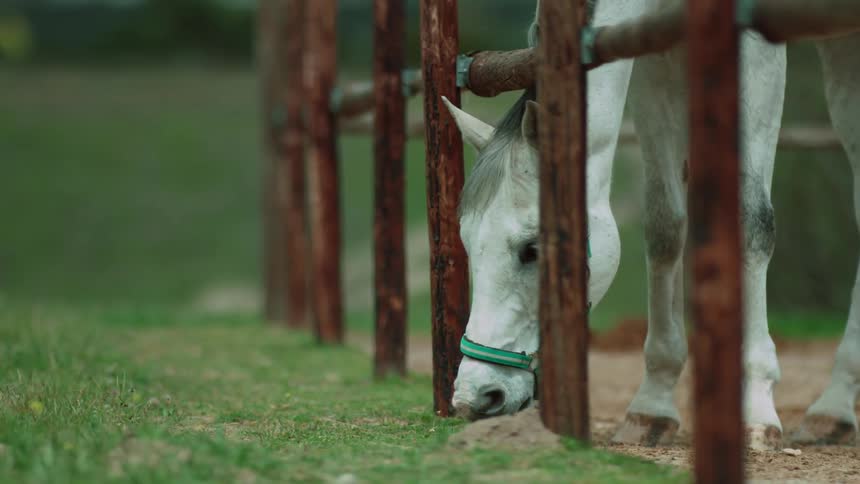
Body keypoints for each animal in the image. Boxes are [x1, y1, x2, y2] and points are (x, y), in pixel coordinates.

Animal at [446, 0, 860, 449]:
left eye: (531, 248)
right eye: (466, 244)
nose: (475, 395)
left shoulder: (754, 47)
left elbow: (751, 221)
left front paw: (755, 408)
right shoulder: (653, 57)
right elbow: (665, 228)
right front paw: (652, 406)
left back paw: (833, 404)